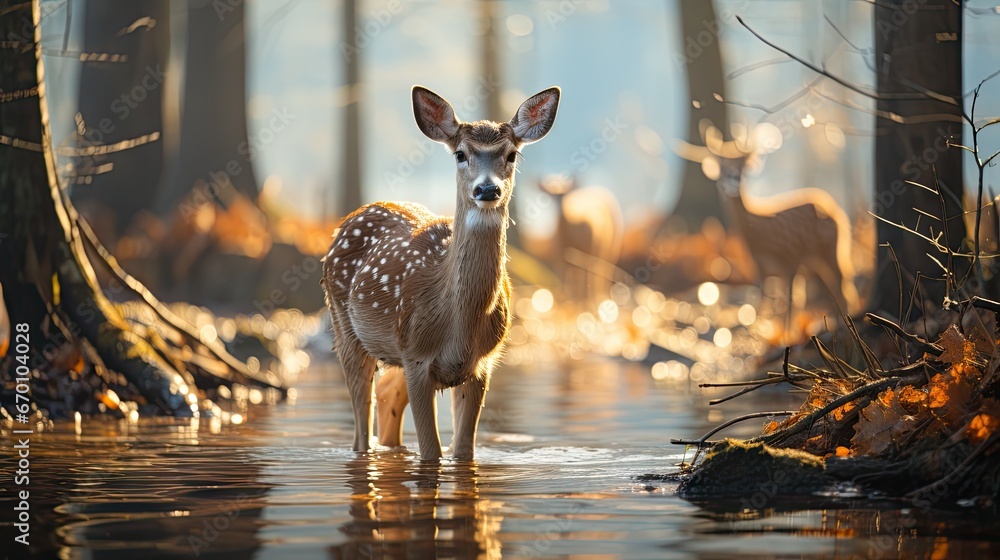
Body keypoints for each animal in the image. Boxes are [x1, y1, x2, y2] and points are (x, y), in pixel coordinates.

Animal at [322, 84, 564, 460]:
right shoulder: (416, 354)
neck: (457, 322)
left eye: (511, 155)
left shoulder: (481, 363)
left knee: (387, 401)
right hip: (346, 329)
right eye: (461, 154)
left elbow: (462, 450)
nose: (487, 189)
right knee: (362, 432)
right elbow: (431, 452)